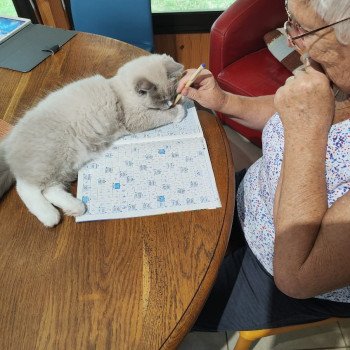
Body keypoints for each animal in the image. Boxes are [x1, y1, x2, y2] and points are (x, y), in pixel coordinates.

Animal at [0, 52, 186, 227]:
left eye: (172, 95)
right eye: (162, 100)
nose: (170, 103)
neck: (118, 90)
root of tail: (9, 140)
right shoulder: (136, 118)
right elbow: (162, 116)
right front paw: (180, 110)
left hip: (67, 166)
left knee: (49, 189)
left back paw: (75, 208)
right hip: (52, 158)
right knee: (26, 188)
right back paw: (51, 217)